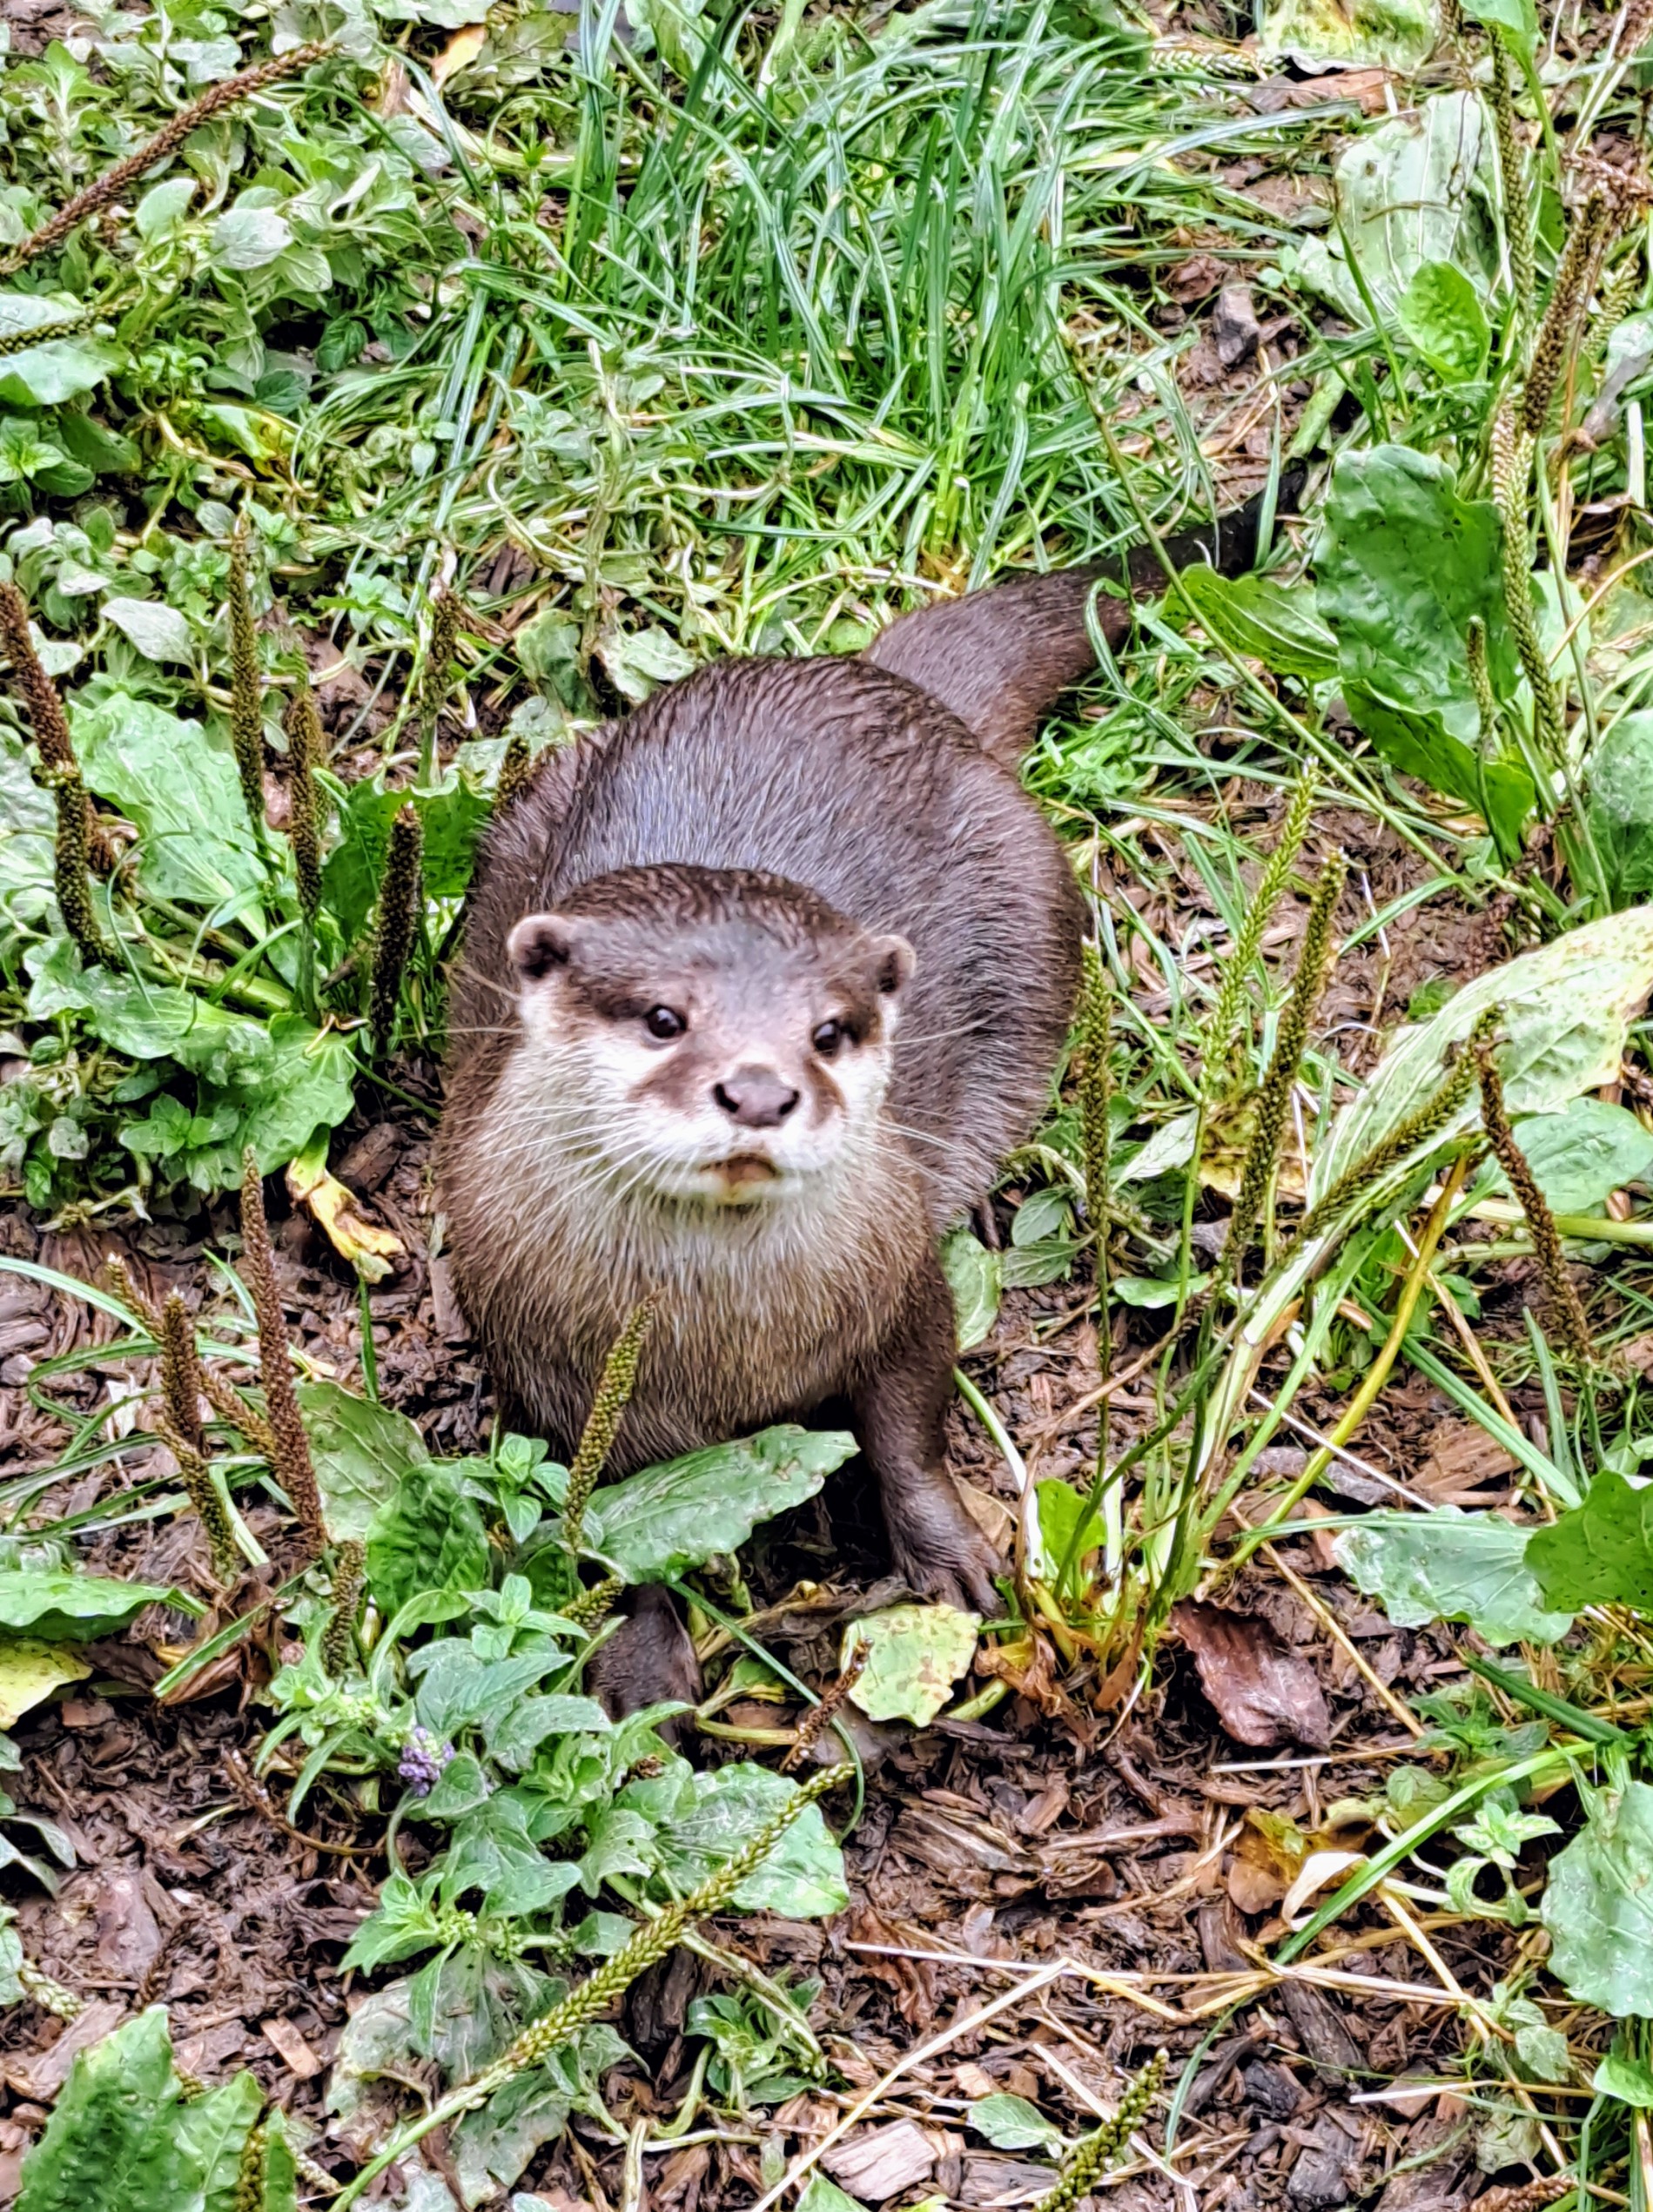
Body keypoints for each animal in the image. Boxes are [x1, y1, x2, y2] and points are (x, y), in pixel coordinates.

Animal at [447, 480, 1300, 1690]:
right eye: (663, 1018)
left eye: (830, 1030)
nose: (760, 1091)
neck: (726, 1354)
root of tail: (880, 678)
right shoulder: (536, 1362)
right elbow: (609, 1518)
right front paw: (642, 1667)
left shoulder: (898, 1284)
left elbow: (910, 1423)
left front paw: (950, 1551)